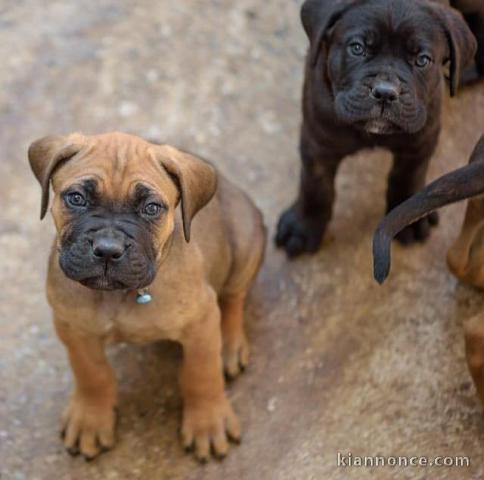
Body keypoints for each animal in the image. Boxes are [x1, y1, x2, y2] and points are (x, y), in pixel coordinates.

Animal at [28, 131, 266, 462]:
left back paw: (229, 345)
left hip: (245, 243)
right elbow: (91, 373)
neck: (120, 295)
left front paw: (207, 422)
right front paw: (90, 418)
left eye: (151, 208)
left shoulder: (201, 323)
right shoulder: (73, 328)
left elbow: (201, 373)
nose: (108, 249)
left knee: (233, 298)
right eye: (76, 198)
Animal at [276, 0, 476, 258]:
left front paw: (408, 221)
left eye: (422, 60)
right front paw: (302, 227)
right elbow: (315, 187)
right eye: (357, 48)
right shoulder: (318, 141)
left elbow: (408, 178)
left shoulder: (420, 141)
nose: (385, 93)